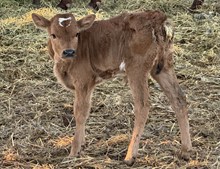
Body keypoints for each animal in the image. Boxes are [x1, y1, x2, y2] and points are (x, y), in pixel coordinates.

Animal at [31, 10, 192, 165]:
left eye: (76, 33)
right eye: (53, 34)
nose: (69, 51)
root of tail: (157, 17)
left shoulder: (83, 81)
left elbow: (80, 112)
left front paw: (74, 151)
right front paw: (81, 143)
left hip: (136, 68)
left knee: (142, 105)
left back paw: (130, 156)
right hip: (163, 66)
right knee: (178, 99)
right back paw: (185, 150)